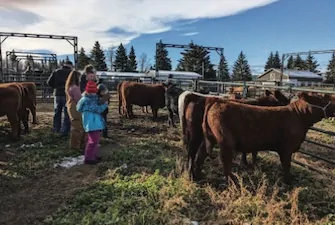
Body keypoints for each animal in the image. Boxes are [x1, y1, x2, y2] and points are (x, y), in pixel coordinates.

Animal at [202, 92, 335, 184]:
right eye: (322, 98)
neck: (299, 117)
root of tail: (218, 102)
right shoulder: (286, 149)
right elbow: (286, 165)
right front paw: (288, 181)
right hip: (226, 143)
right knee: (225, 162)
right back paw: (232, 181)